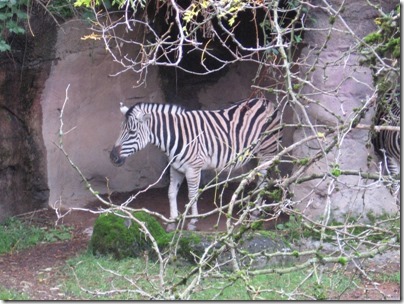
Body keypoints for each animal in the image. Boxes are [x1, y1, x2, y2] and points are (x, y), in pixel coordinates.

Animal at [109, 98, 282, 229]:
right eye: (120, 130)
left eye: (132, 132)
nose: (112, 157)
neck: (176, 136)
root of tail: (266, 100)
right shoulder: (175, 167)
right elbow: (171, 192)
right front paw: (172, 221)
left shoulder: (194, 168)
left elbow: (192, 194)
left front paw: (192, 220)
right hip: (254, 154)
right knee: (258, 179)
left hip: (268, 150)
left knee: (262, 181)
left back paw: (255, 213)